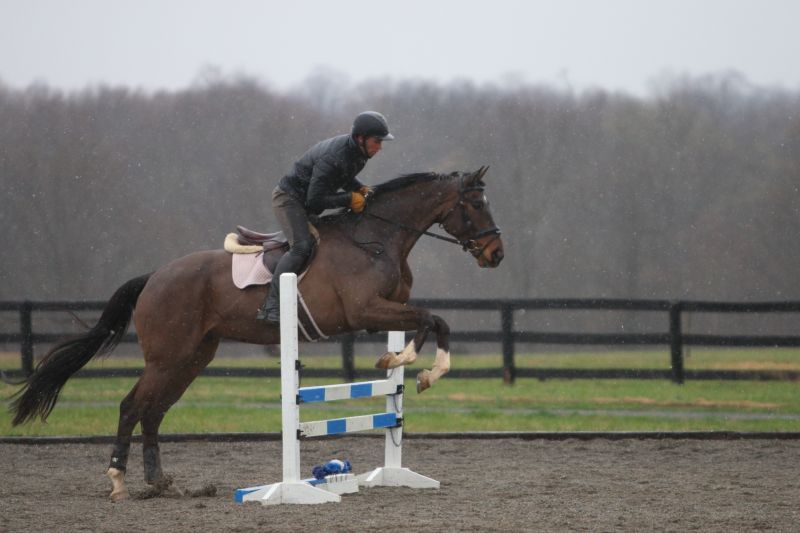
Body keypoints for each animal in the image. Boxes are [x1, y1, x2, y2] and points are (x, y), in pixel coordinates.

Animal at [9, 166, 504, 500]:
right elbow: (428, 321)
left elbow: (433, 321)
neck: (377, 238)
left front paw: (411, 366)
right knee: (133, 406)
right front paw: (409, 365)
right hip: (167, 357)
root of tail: (154, 277)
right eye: (475, 205)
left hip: (193, 358)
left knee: (153, 412)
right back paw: (118, 482)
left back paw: (159, 482)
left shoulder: (382, 313)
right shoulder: (367, 310)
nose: (496, 253)